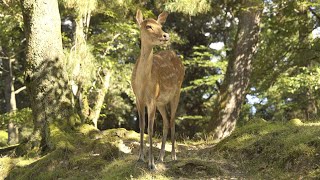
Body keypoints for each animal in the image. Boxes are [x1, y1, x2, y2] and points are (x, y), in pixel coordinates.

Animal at [131, 9, 185, 170]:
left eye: (160, 26)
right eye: (148, 26)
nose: (165, 35)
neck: (143, 83)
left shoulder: (152, 99)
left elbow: (150, 128)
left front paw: (151, 163)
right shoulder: (138, 98)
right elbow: (141, 126)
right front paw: (140, 157)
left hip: (177, 92)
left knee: (172, 120)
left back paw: (173, 156)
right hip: (161, 101)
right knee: (166, 121)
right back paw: (161, 156)